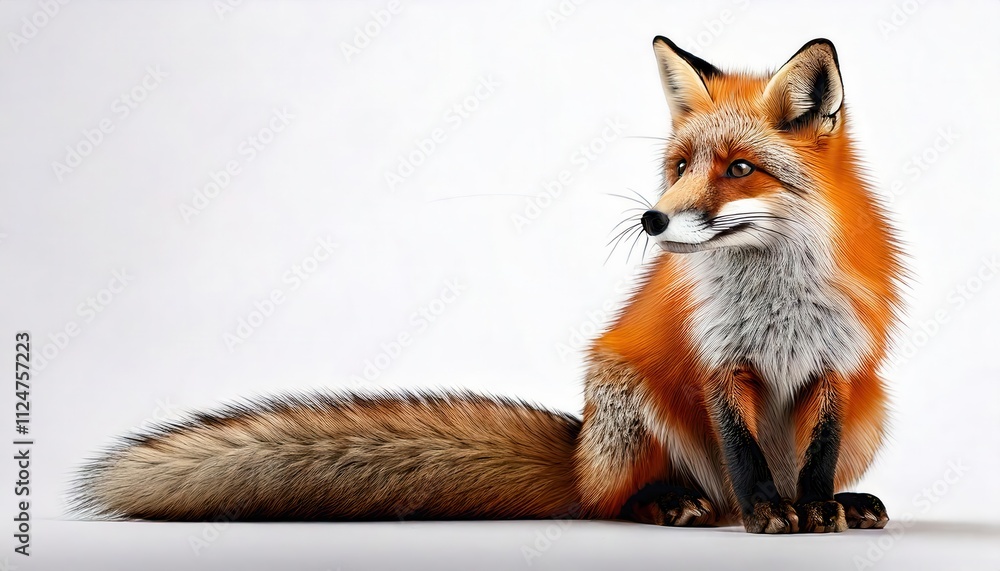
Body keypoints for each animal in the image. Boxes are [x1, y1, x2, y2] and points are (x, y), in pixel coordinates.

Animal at [73, 36, 903, 534]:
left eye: (739, 168)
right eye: (678, 167)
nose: (653, 220)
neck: (774, 299)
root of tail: (575, 449)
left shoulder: (837, 367)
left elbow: (816, 456)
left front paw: (816, 508)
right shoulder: (718, 364)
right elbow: (744, 454)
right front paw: (772, 514)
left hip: (876, 406)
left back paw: (840, 501)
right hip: (627, 399)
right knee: (616, 501)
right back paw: (672, 500)